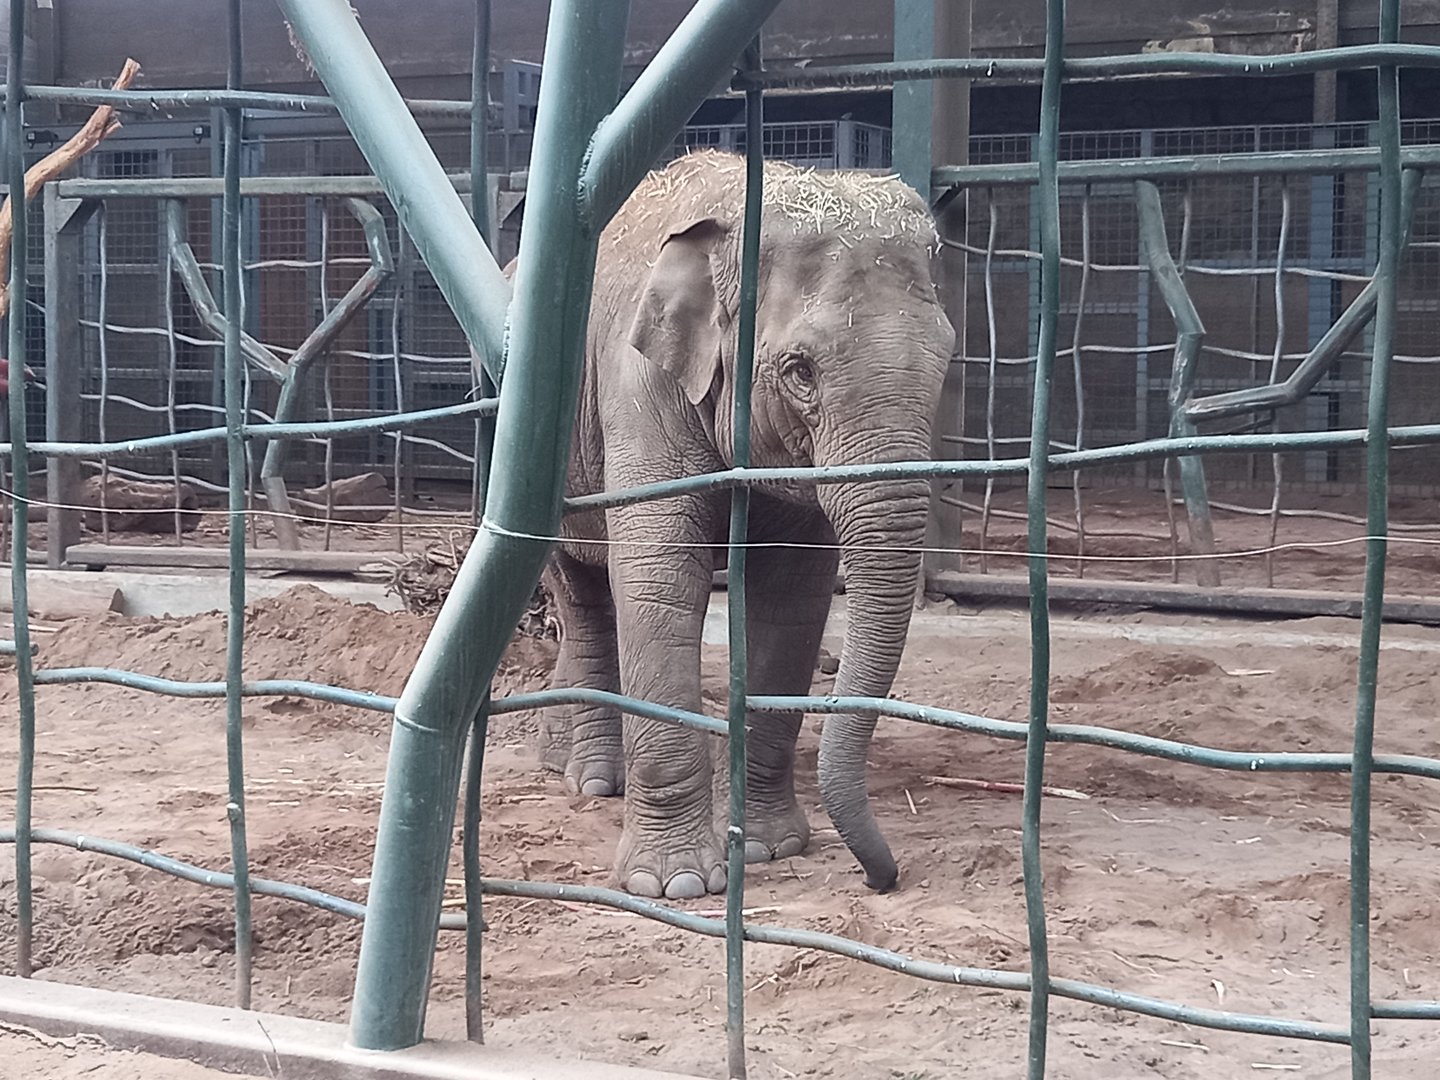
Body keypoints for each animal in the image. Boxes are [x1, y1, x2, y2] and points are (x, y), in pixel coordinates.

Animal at [537, 149, 955, 900]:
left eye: (947, 361)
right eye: (801, 371)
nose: (884, 879)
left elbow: (791, 596)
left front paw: (769, 849)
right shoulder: (639, 381)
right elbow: (658, 572)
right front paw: (673, 887)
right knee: (579, 587)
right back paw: (593, 781)